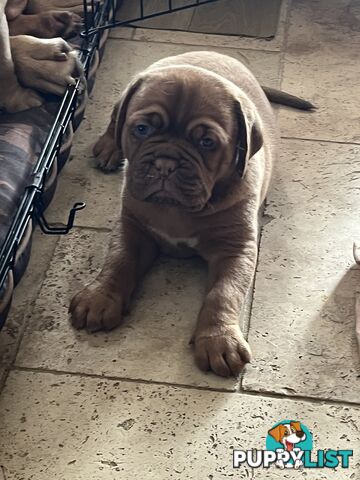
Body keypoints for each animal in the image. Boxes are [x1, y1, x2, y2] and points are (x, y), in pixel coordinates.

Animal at [70, 50, 278, 376]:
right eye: (142, 129)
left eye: (207, 142)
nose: (165, 164)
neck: (178, 211)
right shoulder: (133, 227)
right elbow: (118, 261)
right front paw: (99, 297)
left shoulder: (237, 248)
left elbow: (224, 292)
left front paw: (219, 340)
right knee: (114, 119)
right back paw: (109, 147)